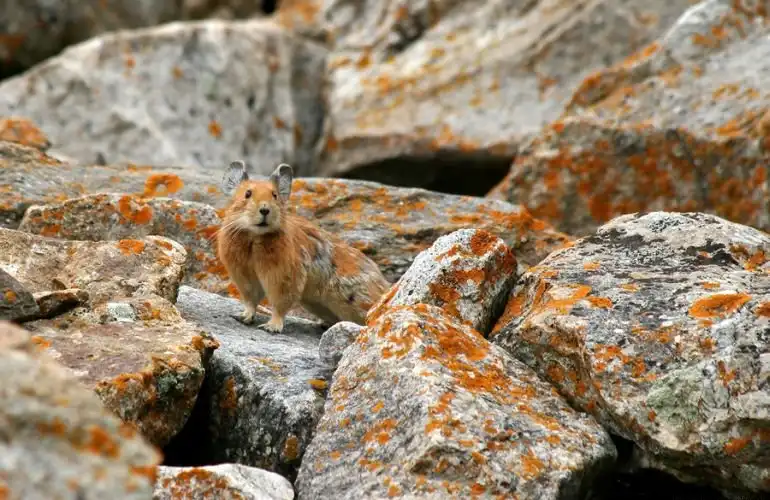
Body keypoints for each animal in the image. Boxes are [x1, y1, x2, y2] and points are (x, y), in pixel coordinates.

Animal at [216, 161, 391, 333]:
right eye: (247, 193)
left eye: (275, 195)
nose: (265, 209)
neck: (255, 239)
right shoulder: (244, 277)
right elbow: (250, 301)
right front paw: (242, 317)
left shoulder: (285, 278)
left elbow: (279, 304)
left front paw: (271, 327)